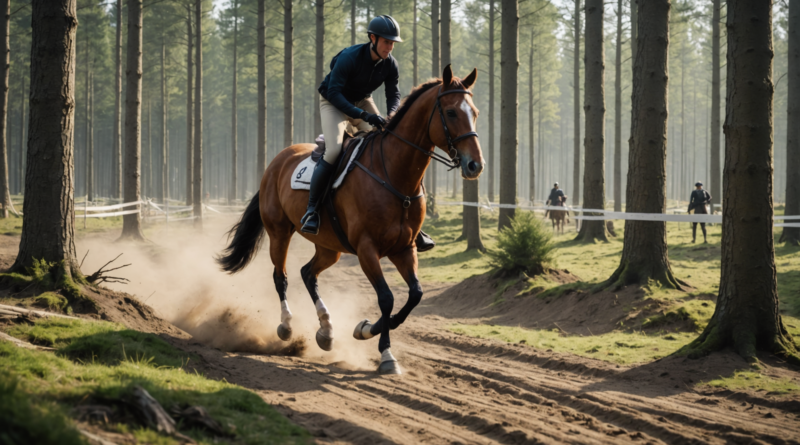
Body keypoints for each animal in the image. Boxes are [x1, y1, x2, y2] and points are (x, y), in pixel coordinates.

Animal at [216, 65, 484, 375]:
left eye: (475, 112)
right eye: (451, 112)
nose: (475, 165)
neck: (394, 175)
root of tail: (276, 162)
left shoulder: (405, 248)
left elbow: (415, 294)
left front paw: (366, 329)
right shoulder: (367, 249)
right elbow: (386, 298)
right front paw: (383, 350)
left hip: (329, 247)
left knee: (308, 273)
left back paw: (326, 331)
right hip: (279, 233)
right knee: (280, 277)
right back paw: (286, 326)